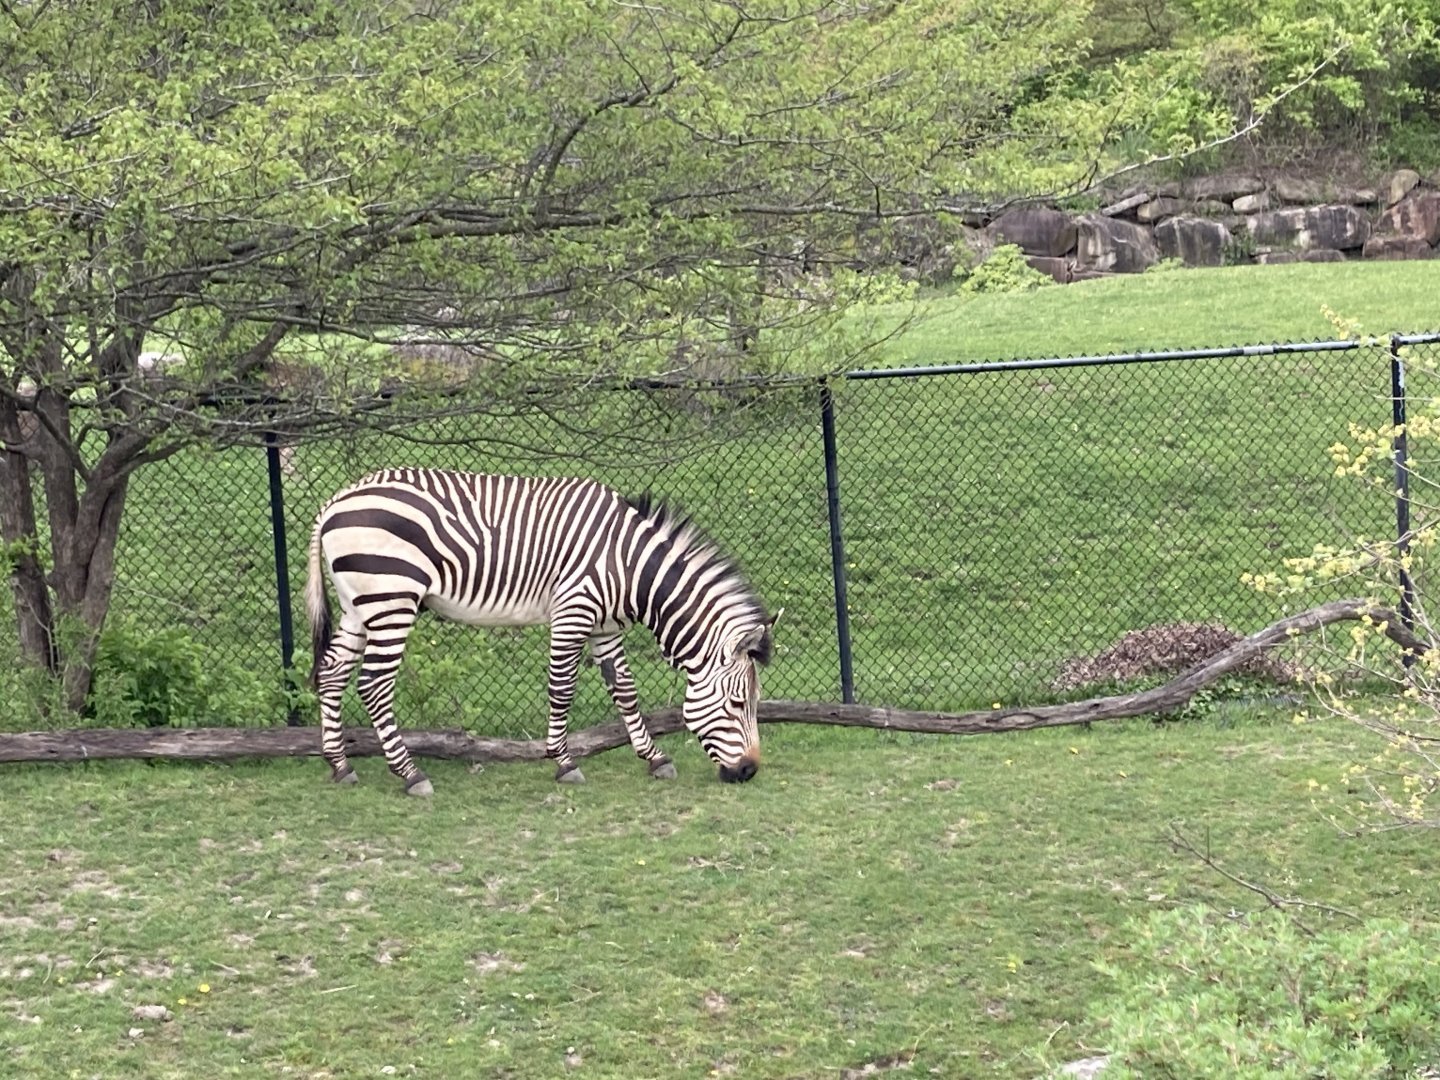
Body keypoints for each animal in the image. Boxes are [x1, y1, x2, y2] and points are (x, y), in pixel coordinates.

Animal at [304, 468, 777, 795]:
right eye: (737, 703)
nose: (749, 771)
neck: (632, 567)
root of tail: (333, 503)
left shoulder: (605, 627)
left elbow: (625, 691)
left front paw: (654, 758)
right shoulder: (574, 611)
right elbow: (562, 689)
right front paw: (564, 763)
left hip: (357, 606)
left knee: (332, 673)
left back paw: (340, 765)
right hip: (391, 599)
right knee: (373, 685)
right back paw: (409, 773)